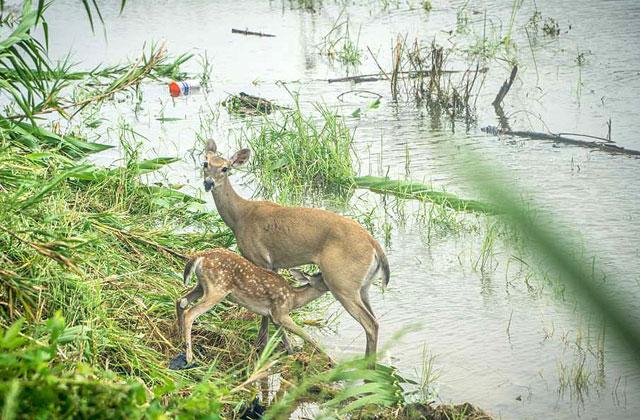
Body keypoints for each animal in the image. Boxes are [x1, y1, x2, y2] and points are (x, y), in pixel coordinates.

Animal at [177, 248, 330, 364]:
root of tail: (200, 256)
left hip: (202, 286)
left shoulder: (274, 317)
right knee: (190, 313)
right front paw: (331, 361)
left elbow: (285, 339)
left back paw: (179, 338)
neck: (293, 299)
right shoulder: (280, 313)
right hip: (217, 288)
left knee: (181, 300)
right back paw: (189, 357)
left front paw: (291, 355)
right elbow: (307, 336)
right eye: (324, 278)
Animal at [201, 139, 390, 359]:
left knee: (370, 323)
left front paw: (265, 346)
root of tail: (374, 245)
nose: (208, 183)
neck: (240, 217)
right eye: (205, 163)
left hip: (342, 281)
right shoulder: (274, 264)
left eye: (225, 168)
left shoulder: (260, 258)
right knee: (375, 321)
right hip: (363, 286)